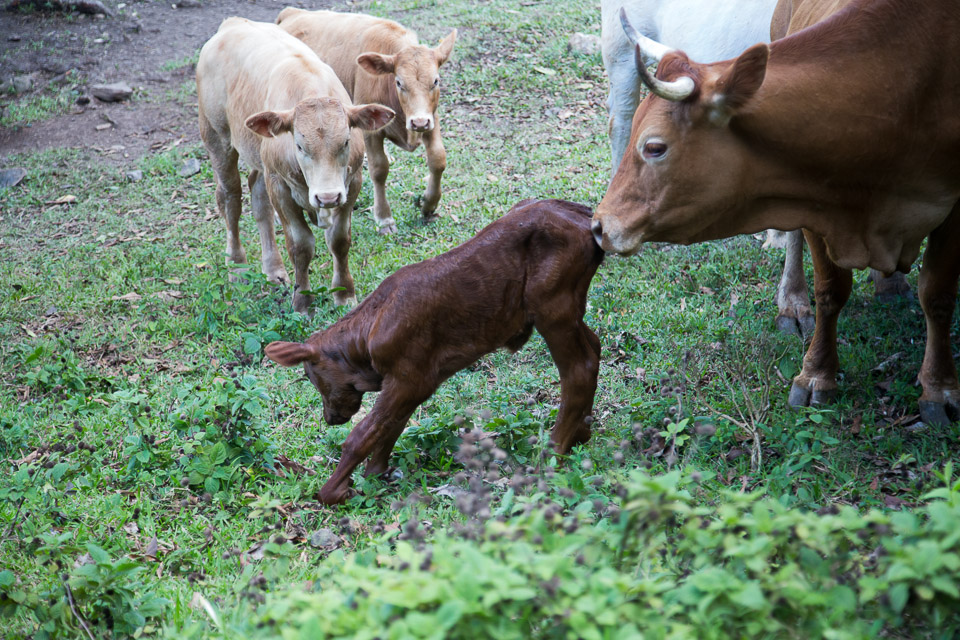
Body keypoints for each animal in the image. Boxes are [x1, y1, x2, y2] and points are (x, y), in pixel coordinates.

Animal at [197, 18, 396, 312]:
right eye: (300, 146)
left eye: (346, 141)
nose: (327, 197)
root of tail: (231, 24)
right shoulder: (280, 186)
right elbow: (301, 246)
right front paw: (303, 302)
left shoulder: (352, 183)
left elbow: (339, 240)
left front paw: (344, 294)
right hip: (217, 138)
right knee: (231, 200)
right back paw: (237, 267)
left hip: (261, 161)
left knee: (258, 198)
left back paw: (274, 270)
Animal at [266, 200, 604, 504]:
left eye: (313, 378)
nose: (331, 417)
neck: (365, 337)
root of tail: (585, 215)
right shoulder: (416, 381)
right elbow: (391, 426)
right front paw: (376, 472)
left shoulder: (411, 378)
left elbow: (365, 432)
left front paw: (334, 491)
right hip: (568, 309)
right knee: (595, 346)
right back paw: (580, 434)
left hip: (553, 307)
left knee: (579, 369)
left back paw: (554, 453)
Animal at [278, 8, 458, 235]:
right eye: (399, 82)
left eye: (435, 81)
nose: (418, 123)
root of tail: (291, 12)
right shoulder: (371, 131)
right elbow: (379, 169)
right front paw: (384, 218)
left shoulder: (431, 118)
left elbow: (438, 159)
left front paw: (429, 203)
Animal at [592, 5, 960, 428]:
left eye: (655, 147)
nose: (600, 226)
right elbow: (829, 287)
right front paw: (814, 370)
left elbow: (937, 294)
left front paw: (939, 389)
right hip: (620, 56)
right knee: (618, 122)